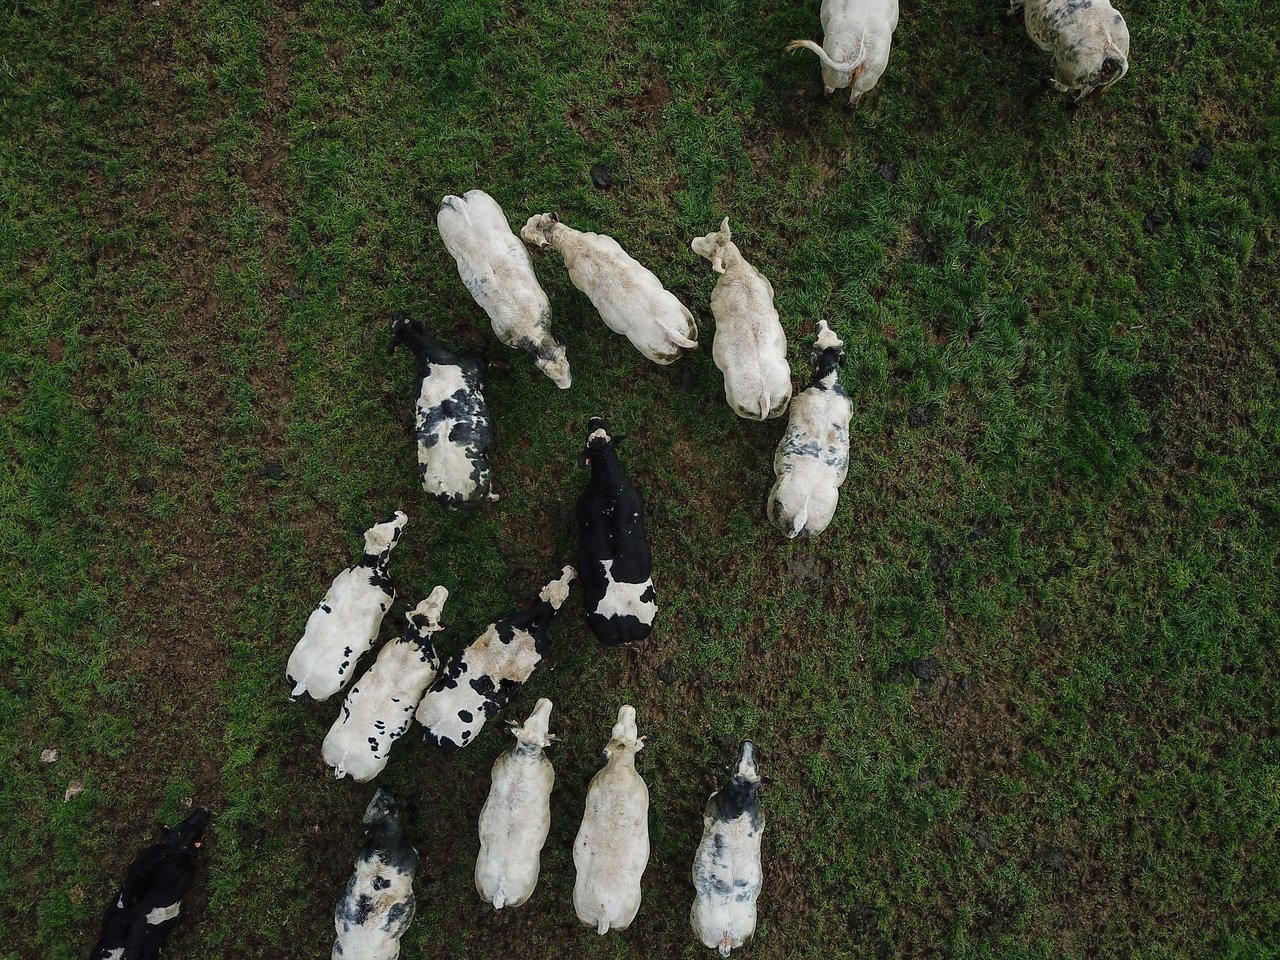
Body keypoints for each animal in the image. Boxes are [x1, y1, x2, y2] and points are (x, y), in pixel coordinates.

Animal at [388, 312, 497, 510]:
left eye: (400, 320)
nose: (398, 312)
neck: (432, 362)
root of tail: (449, 495)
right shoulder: (478, 366)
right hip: (485, 480)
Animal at [573, 705, 650, 935]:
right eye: (617, 729)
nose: (628, 707)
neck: (618, 770)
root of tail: (604, 913)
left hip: (582, 912)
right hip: (628, 914)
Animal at [691, 741, 768, 957]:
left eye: (735, 763)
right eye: (755, 764)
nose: (748, 742)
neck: (741, 799)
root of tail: (726, 936)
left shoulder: (710, 803)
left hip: (697, 924)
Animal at [767, 320, 852, 539]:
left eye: (816, 339)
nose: (820, 322)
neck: (828, 384)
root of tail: (801, 515)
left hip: (774, 503)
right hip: (819, 524)